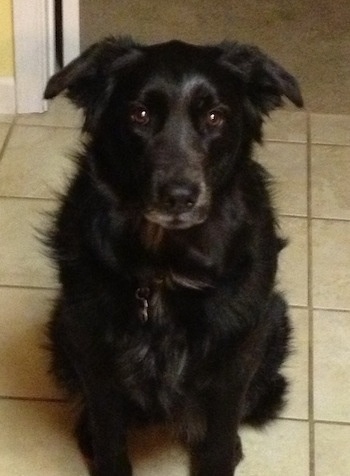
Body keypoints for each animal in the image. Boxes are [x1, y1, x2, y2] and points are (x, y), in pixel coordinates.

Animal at [44, 38, 304, 476]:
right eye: (140, 114)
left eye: (215, 117)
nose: (180, 196)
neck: (164, 264)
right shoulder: (91, 346)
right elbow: (109, 431)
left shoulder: (236, 355)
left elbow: (219, 434)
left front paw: (221, 453)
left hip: (273, 323)